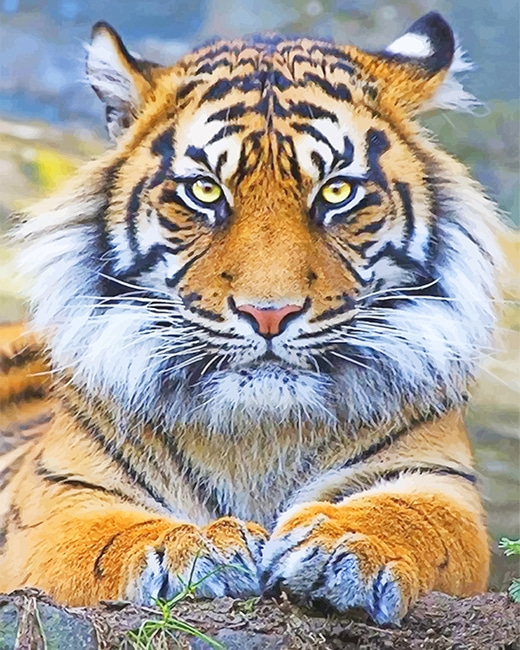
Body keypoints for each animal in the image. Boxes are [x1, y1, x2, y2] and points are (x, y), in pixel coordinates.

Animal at [0, 12, 501, 625]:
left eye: (336, 191)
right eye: (204, 190)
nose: (269, 313)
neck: (259, 433)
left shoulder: (441, 482)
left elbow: (413, 519)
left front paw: (344, 547)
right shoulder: (58, 496)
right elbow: (103, 536)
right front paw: (196, 546)